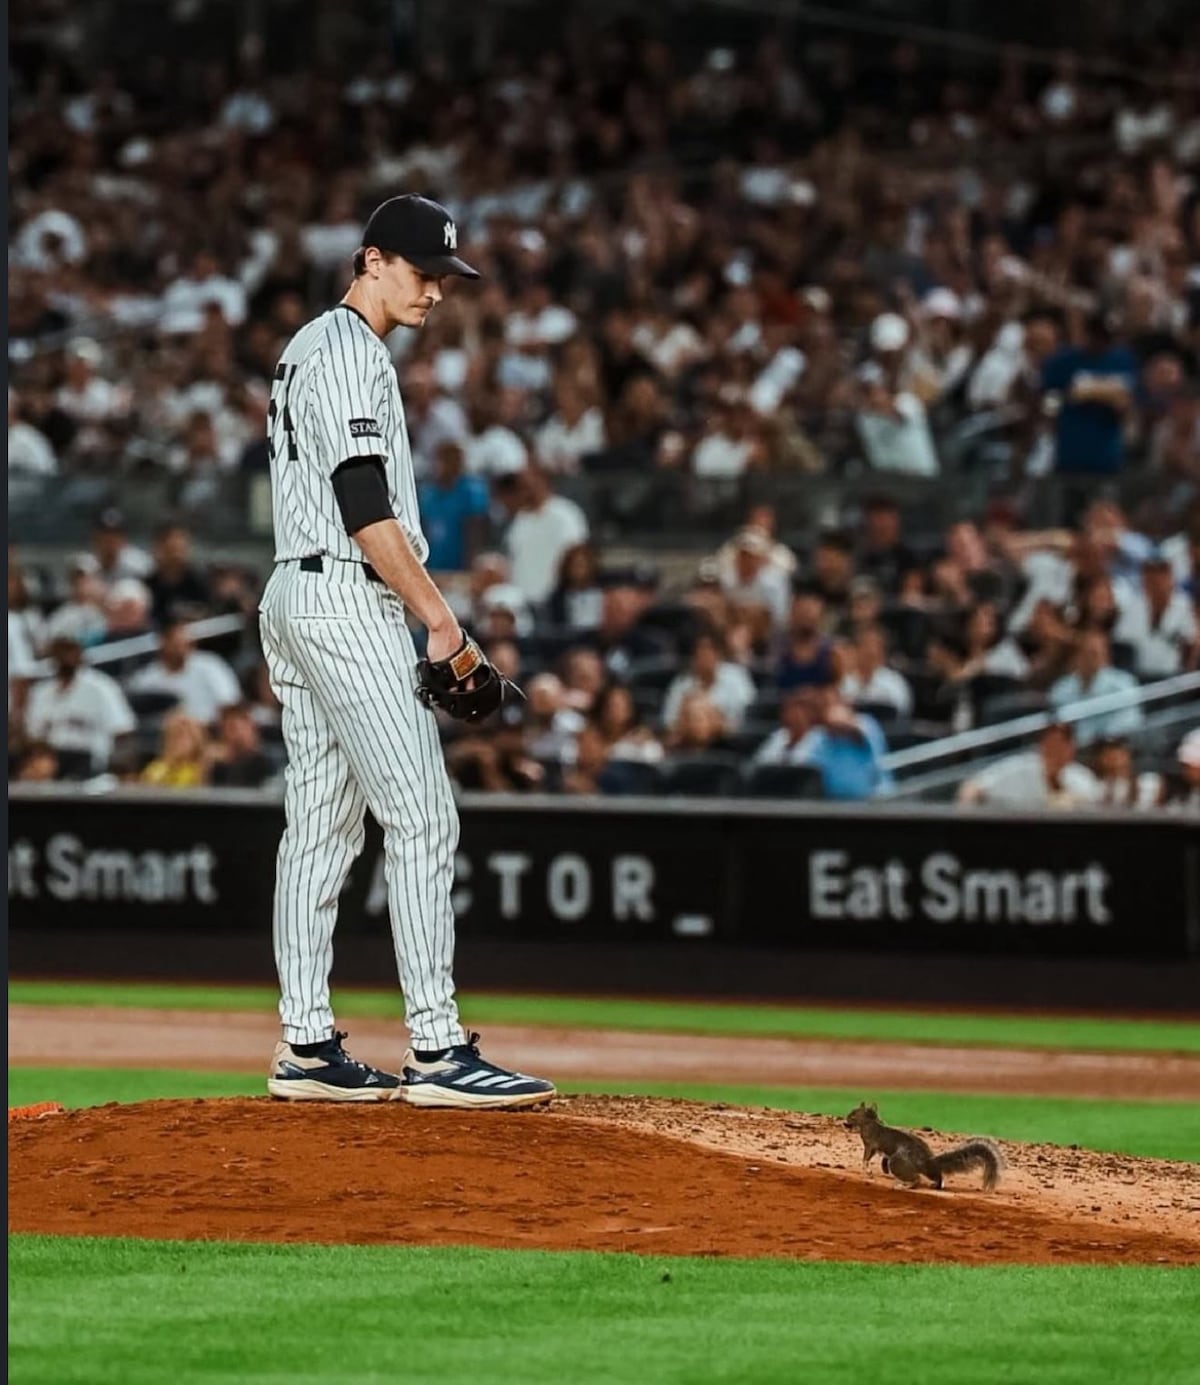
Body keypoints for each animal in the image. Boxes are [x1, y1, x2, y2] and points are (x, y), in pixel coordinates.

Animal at [843, 1103, 1004, 1191]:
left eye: (853, 1115)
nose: (845, 1121)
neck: (870, 1122)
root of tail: (928, 1161)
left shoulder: (870, 1143)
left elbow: (865, 1158)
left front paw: (868, 1171)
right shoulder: (878, 1149)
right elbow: (881, 1158)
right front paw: (882, 1169)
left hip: (898, 1162)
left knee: (917, 1179)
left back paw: (903, 1185)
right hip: (926, 1171)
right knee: (936, 1176)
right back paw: (937, 1185)